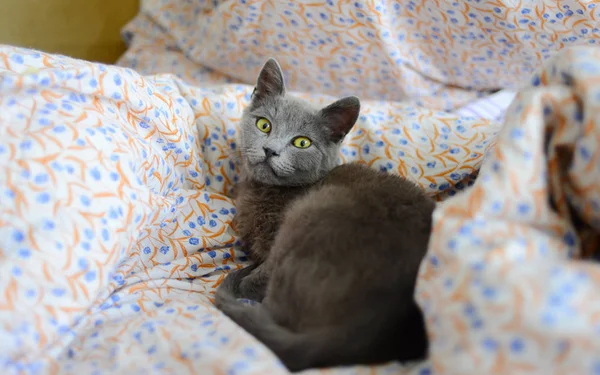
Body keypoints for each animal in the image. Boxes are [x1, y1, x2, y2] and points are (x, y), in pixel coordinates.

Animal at [216, 58, 436, 374]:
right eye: (264, 125)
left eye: (302, 143)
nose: (270, 150)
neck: (263, 193)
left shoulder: (277, 243)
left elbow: (260, 274)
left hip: (312, 212)